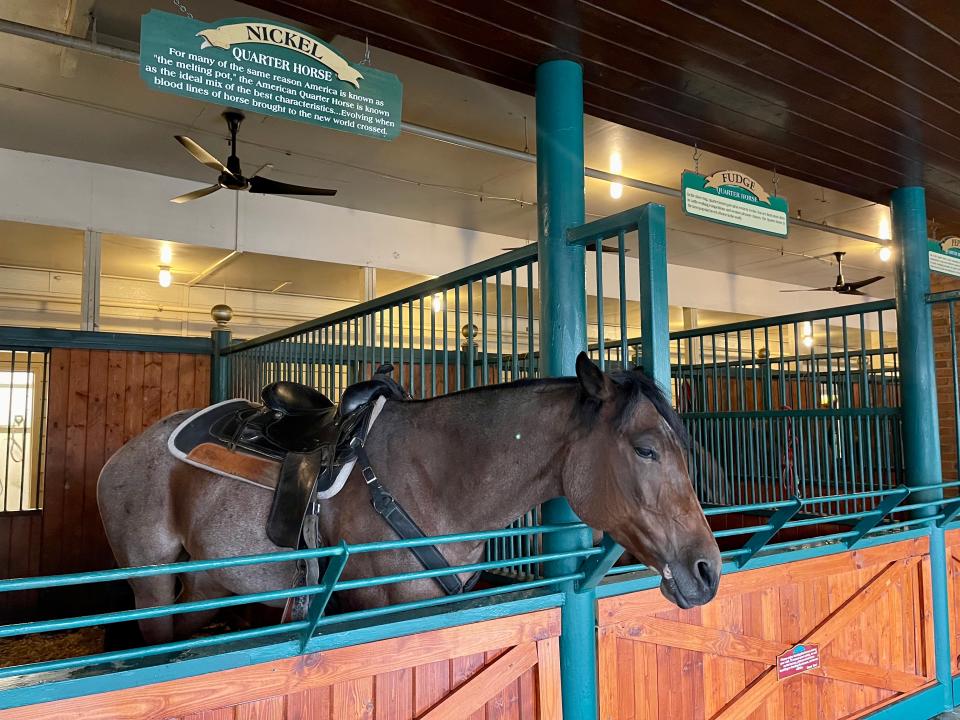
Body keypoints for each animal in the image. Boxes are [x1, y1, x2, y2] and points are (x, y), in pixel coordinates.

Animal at [101, 352, 724, 644]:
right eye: (646, 449)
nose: (707, 571)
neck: (440, 480)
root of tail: (124, 454)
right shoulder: (383, 606)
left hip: (208, 580)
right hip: (151, 581)